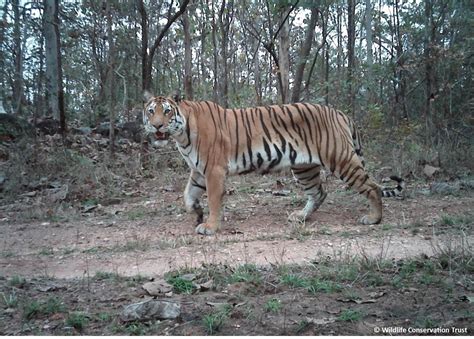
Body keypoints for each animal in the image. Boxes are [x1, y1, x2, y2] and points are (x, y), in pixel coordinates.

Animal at [143, 93, 402, 236]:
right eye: (151, 111)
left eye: (167, 112)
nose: (157, 126)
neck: (182, 135)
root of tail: (340, 113)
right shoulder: (198, 171)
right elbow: (187, 195)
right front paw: (196, 212)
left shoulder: (213, 171)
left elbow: (214, 201)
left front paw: (210, 226)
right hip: (304, 167)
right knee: (319, 192)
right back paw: (300, 216)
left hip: (340, 158)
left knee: (372, 187)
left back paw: (374, 218)